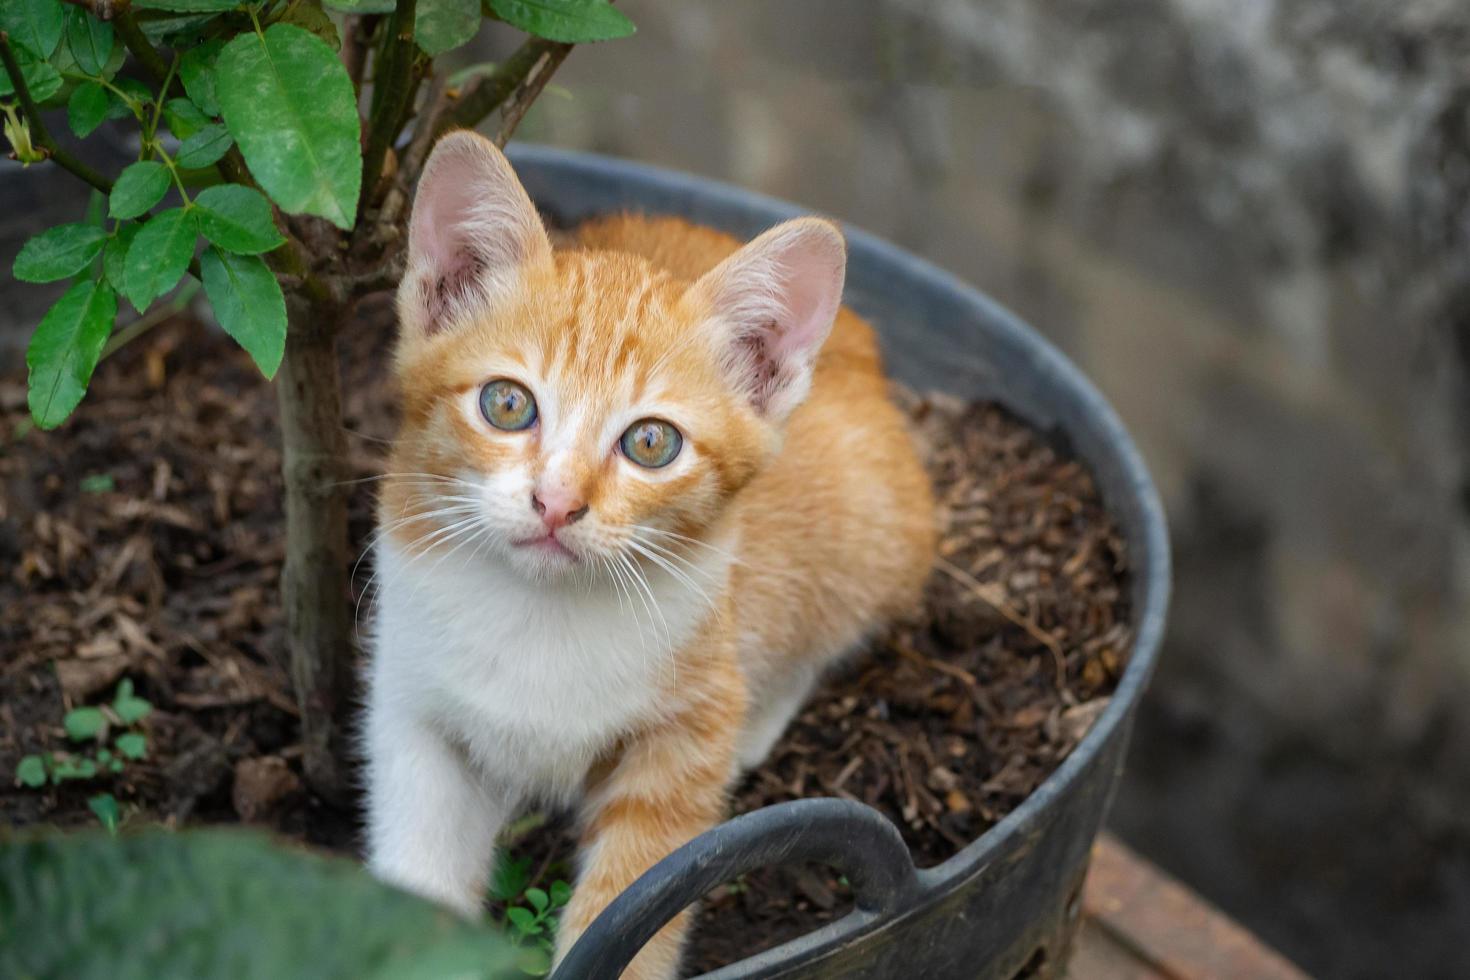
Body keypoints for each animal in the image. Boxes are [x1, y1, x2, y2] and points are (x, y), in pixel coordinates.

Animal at [363, 132, 929, 980]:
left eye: (651, 443)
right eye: (507, 403)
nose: (557, 502)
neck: (540, 615)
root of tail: (862, 343)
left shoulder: (683, 747)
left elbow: (634, 906)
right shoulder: (412, 707)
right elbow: (415, 867)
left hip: (874, 526)